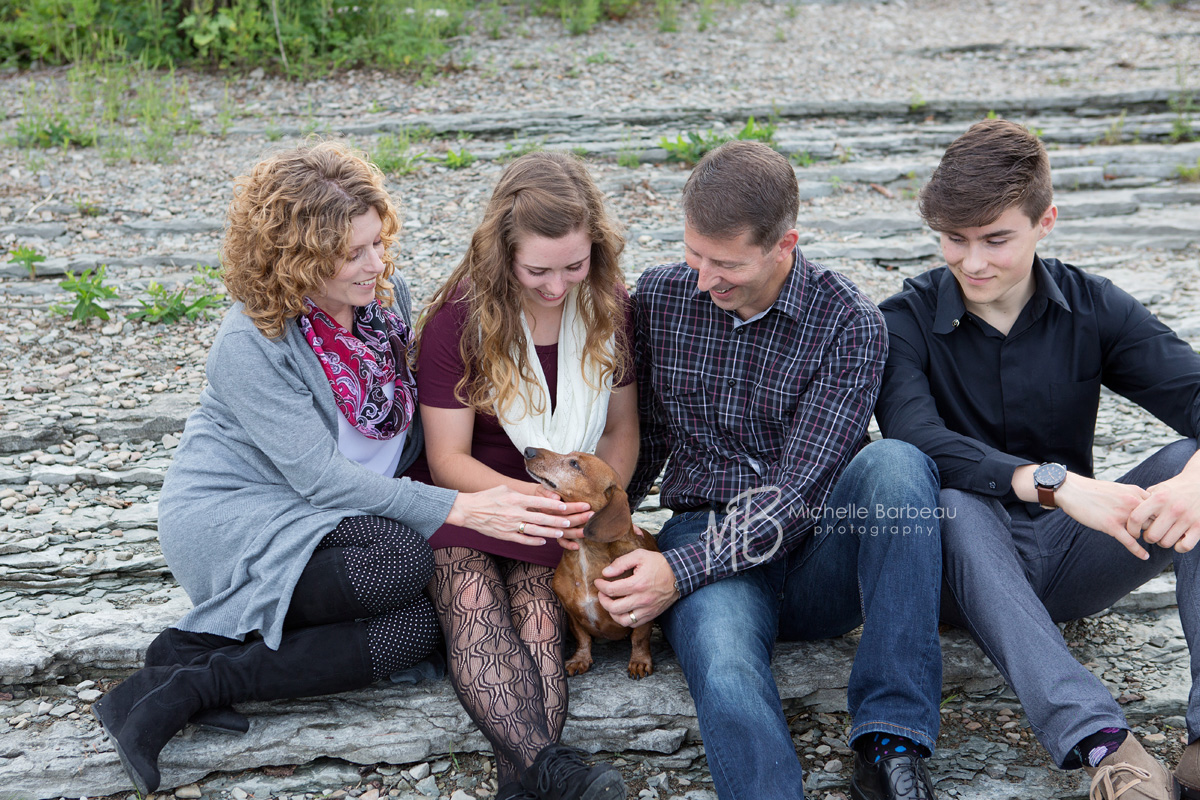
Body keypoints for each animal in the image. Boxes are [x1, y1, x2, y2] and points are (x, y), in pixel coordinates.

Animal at [523, 448, 657, 681]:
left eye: (575, 464)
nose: (528, 450)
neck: (585, 552)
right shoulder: (572, 613)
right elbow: (583, 638)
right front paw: (580, 659)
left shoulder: (642, 609)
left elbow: (639, 638)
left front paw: (640, 661)